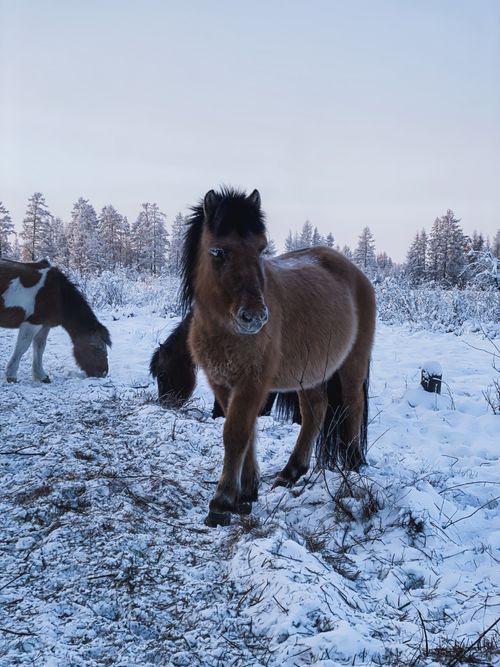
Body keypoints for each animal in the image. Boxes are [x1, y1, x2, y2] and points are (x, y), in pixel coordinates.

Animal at [181, 187, 376, 527]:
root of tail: (354, 272)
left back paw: (353, 466)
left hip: (353, 364)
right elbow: (247, 432)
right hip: (311, 373)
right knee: (315, 412)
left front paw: (222, 501)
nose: (255, 317)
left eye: (262, 249)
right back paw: (291, 471)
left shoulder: (253, 383)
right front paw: (247, 491)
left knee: (352, 407)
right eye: (218, 251)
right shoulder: (222, 382)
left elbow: (236, 433)